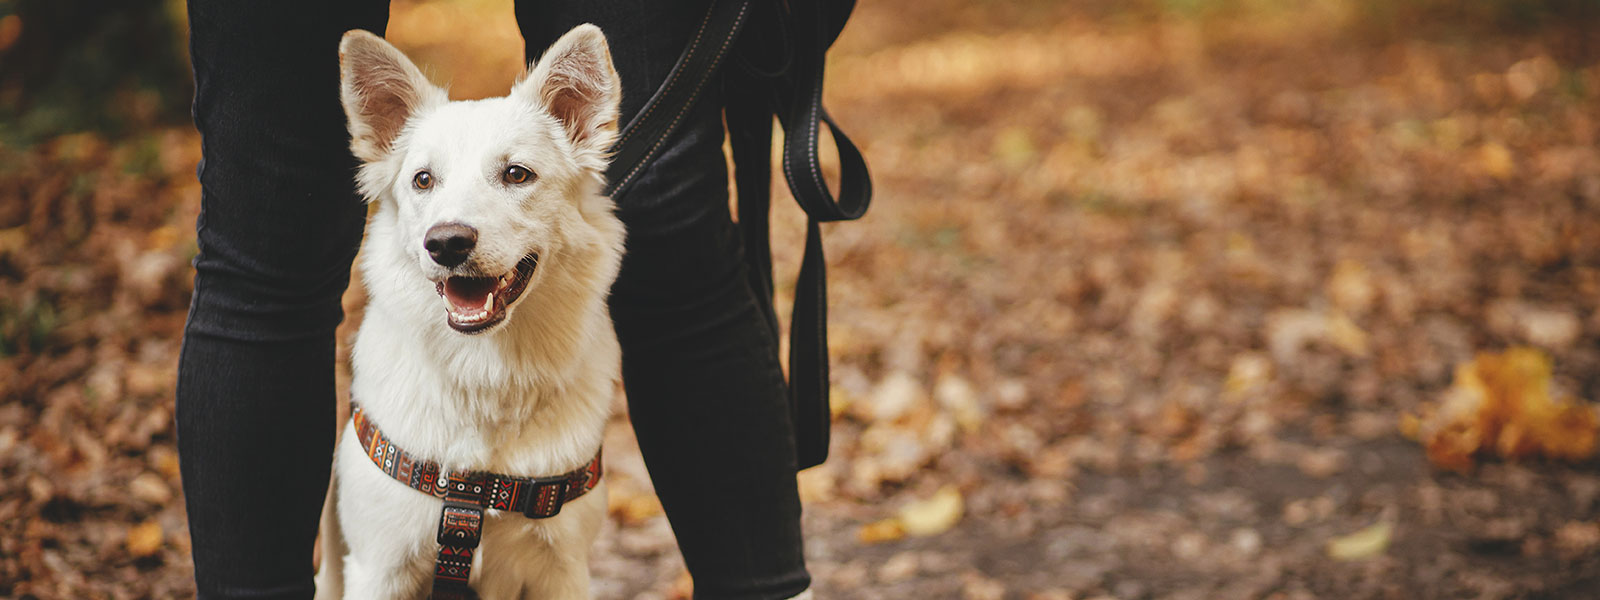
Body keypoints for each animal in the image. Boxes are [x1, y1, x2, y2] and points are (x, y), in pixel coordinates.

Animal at [315, 24, 627, 600]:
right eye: (422, 180)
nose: (447, 243)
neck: (486, 374)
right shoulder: (379, 567)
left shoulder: (564, 568)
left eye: (517, 174)